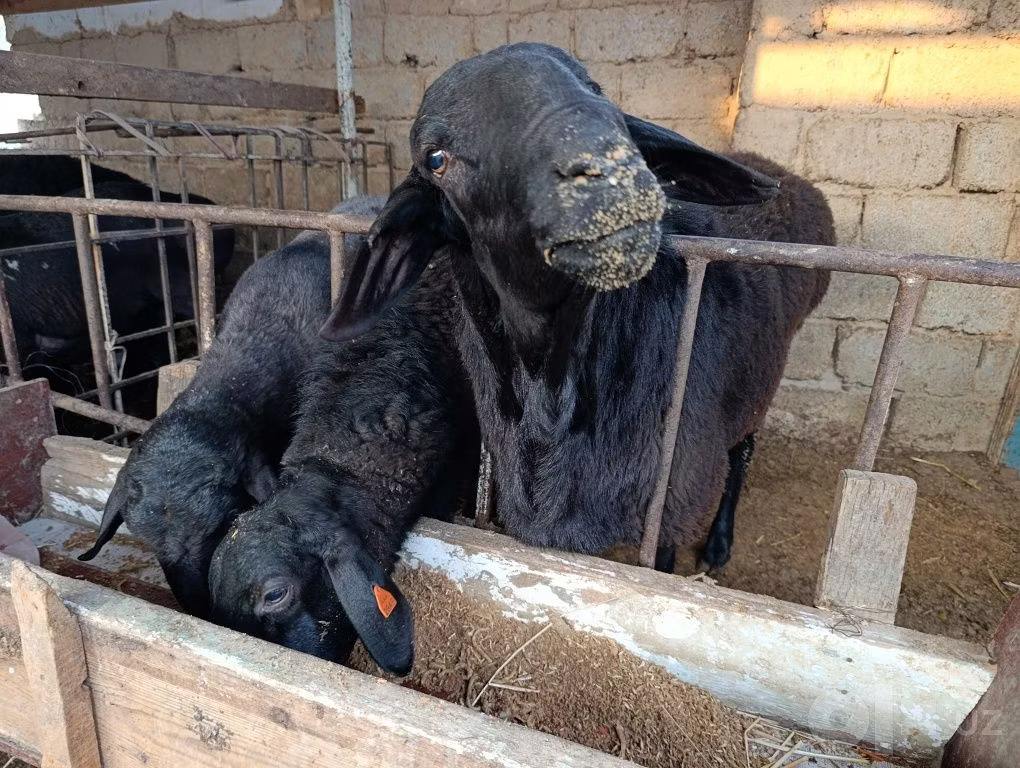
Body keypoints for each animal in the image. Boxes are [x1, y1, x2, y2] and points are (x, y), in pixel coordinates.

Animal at [320, 43, 833, 573]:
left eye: (595, 88)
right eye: (435, 158)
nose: (606, 171)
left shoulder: (669, 512)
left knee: (743, 452)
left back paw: (719, 544)